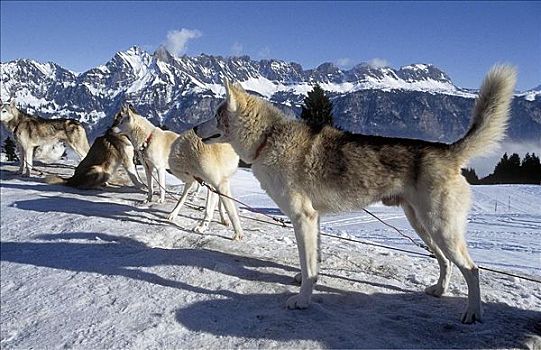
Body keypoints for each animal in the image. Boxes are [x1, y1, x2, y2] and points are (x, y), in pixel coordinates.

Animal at [114, 105, 243, 239]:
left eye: (121, 122)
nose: (111, 129)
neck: (147, 139)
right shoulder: (148, 168)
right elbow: (151, 188)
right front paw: (149, 200)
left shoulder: (160, 168)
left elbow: (162, 187)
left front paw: (161, 200)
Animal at [196, 65, 516, 322]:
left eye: (216, 114)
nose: (195, 127)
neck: (268, 138)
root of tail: (448, 150)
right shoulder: (314, 220)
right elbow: (313, 262)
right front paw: (304, 283)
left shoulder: (303, 218)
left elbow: (309, 266)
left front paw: (302, 300)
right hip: (423, 227)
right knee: (446, 262)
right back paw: (439, 290)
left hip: (440, 229)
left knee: (473, 270)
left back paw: (473, 313)